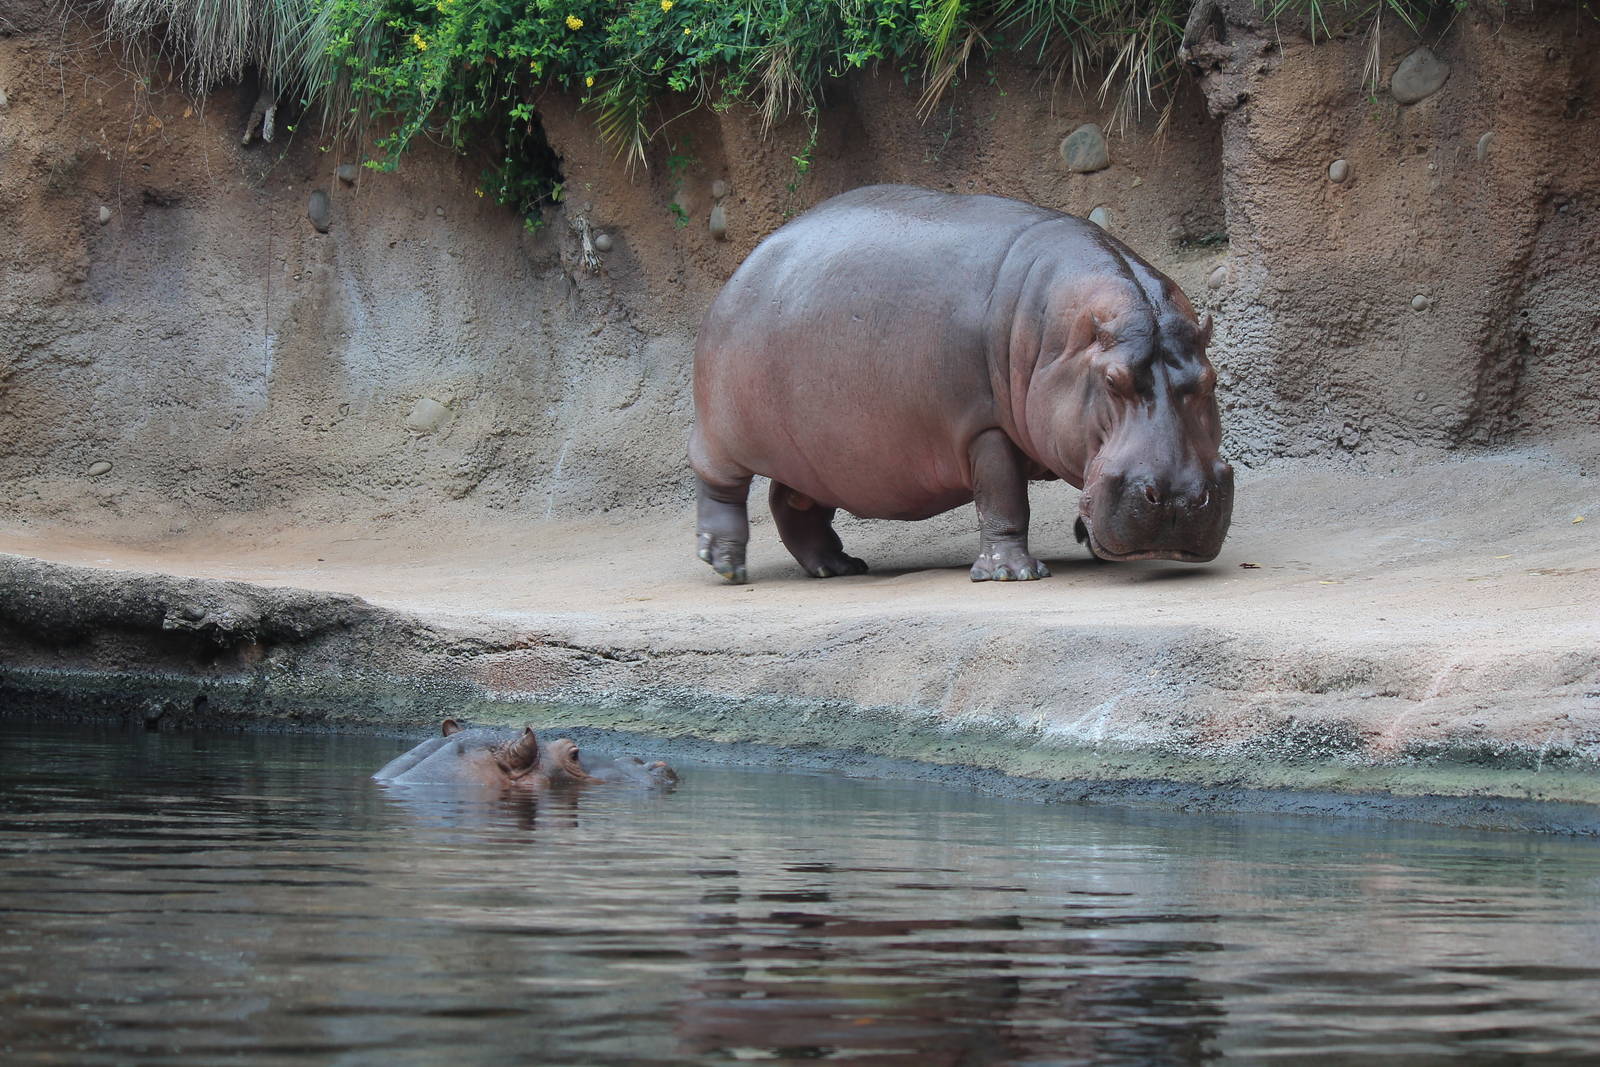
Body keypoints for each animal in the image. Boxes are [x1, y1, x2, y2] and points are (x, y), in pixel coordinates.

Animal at [690, 184, 1233, 584]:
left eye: (1211, 379)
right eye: (1112, 380)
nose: (1180, 497)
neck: (1057, 336)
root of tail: (745, 265)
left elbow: (1084, 480)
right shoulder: (982, 427)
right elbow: (1003, 497)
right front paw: (1013, 574)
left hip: (816, 455)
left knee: (790, 502)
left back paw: (836, 566)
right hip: (723, 431)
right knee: (720, 486)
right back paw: (727, 564)